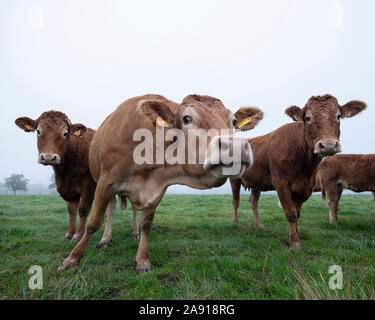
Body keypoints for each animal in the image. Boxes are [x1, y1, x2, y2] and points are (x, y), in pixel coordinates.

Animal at [58, 94, 264, 274]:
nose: (237, 147)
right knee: (112, 208)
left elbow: (146, 223)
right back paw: (105, 238)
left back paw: (134, 233)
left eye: (234, 122)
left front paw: (142, 260)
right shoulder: (105, 183)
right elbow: (93, 223)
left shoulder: (158, 188)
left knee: (134, 210)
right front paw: (72, 258)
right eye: (187, 118)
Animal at [231, 94, 366, 249]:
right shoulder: (281, 184)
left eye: (338, 116)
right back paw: (235, 223)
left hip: (257, 182)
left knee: (253, 202)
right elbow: (291, 213)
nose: (329, 145)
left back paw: (260, 226)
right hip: (234, 179)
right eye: (308, 118)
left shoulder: (305, 187)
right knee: (235, 201)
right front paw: (295, 243)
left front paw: (296, 234)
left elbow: (298, 213)